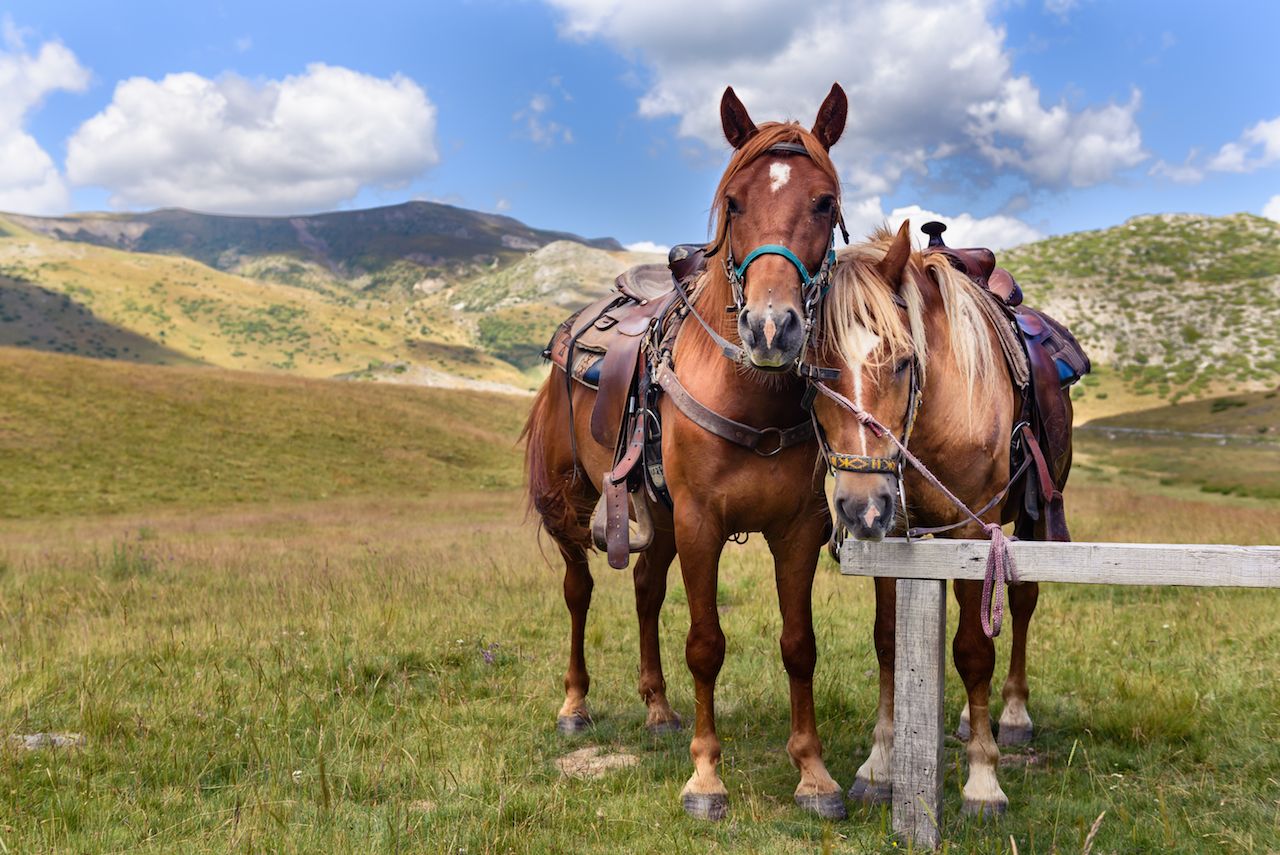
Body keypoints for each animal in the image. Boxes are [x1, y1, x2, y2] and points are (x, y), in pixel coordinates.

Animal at [524, 87, 855, 819]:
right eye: (734, 202)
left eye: (825, 202)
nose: (771, 327)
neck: (749, 394)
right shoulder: (704, 521)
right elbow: (706, 644)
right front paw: (706, 777)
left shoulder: (798, 529)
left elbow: (800, 645)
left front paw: (814, 772)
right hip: (569, 505)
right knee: (578, 591)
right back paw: (574, 704)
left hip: (659, 516)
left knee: (646, 592)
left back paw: (657, 708)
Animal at [808, 223, 1070, 819]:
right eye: (816, 371)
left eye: (905, 362)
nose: (862, 505)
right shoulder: (897, 534)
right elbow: (889, 642)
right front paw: (880, 766)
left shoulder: (975, 532)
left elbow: (975, 650)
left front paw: (983, 781)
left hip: (1031, 519)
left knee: (1022, 603)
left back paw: (1011, 715)